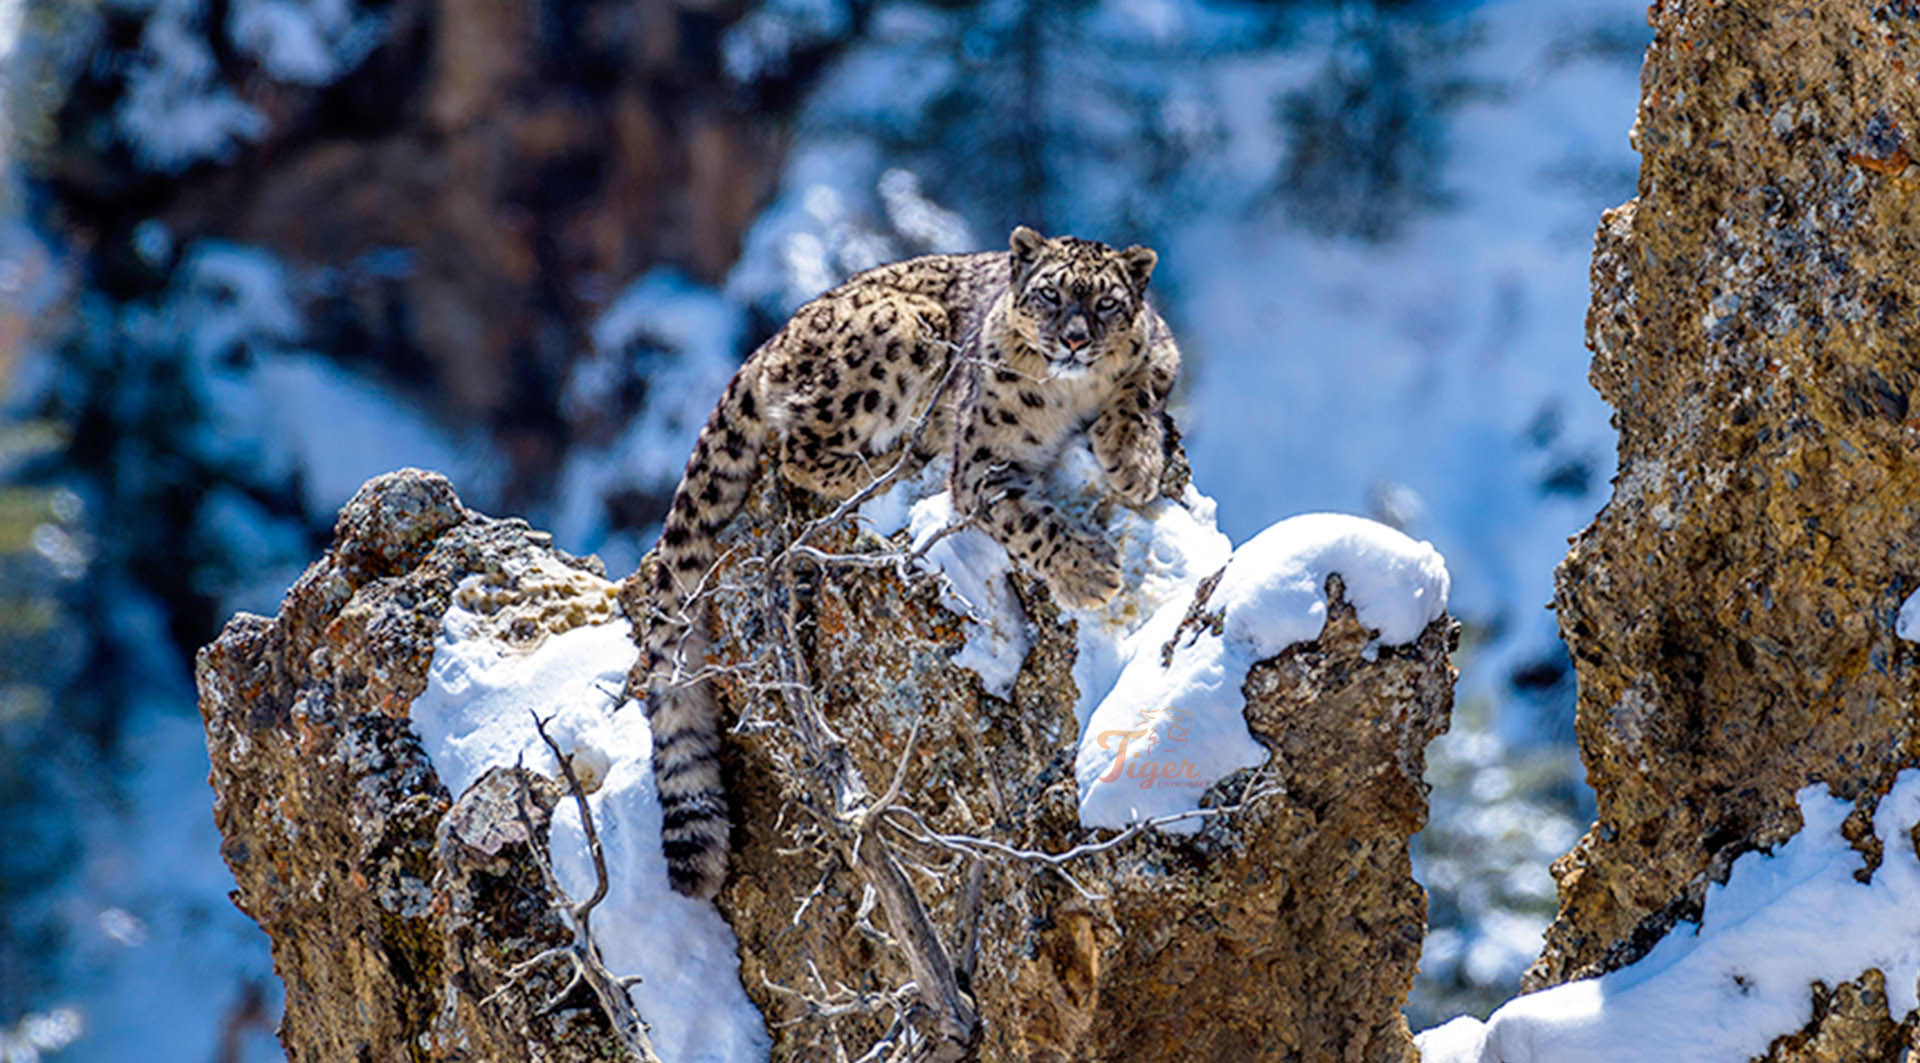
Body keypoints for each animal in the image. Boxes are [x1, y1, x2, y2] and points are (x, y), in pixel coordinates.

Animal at [632, 226, 1180, 898]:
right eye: (1051, 294)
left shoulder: (1160, 351)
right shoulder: (982, 462)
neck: (1072, 393)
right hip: (904, 329)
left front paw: (1133, 460)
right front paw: (1089, 572)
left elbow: (1140, 382)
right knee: (799, 451)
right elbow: (1026, 520)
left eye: (1106, 303)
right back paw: (900, 458)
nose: (1075, 339)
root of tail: (773, 339)